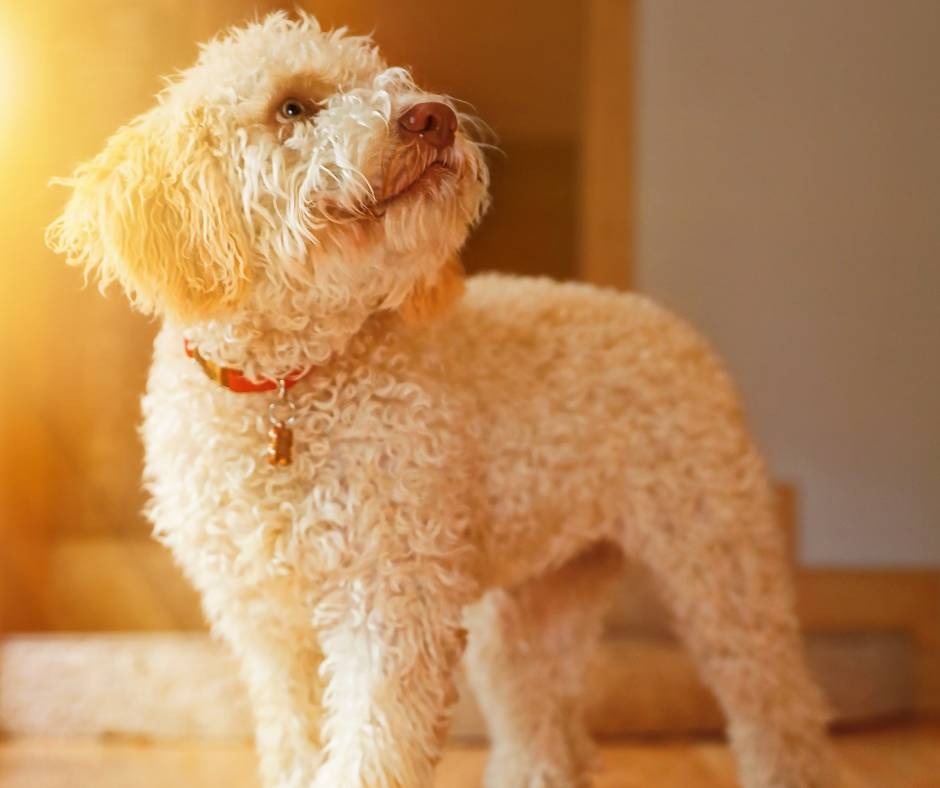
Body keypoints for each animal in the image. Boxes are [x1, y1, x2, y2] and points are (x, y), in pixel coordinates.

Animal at [47, 12, 832, 788]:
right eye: (291, 108)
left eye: (385, 78)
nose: (433, 116)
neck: (289, 384)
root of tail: (670, 322)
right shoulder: (266, 622)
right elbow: (296, 740)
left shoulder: (392, 600)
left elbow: (369, 750)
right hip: (536, 607)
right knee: (541, 727)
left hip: (720, 563)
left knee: (779, 710)